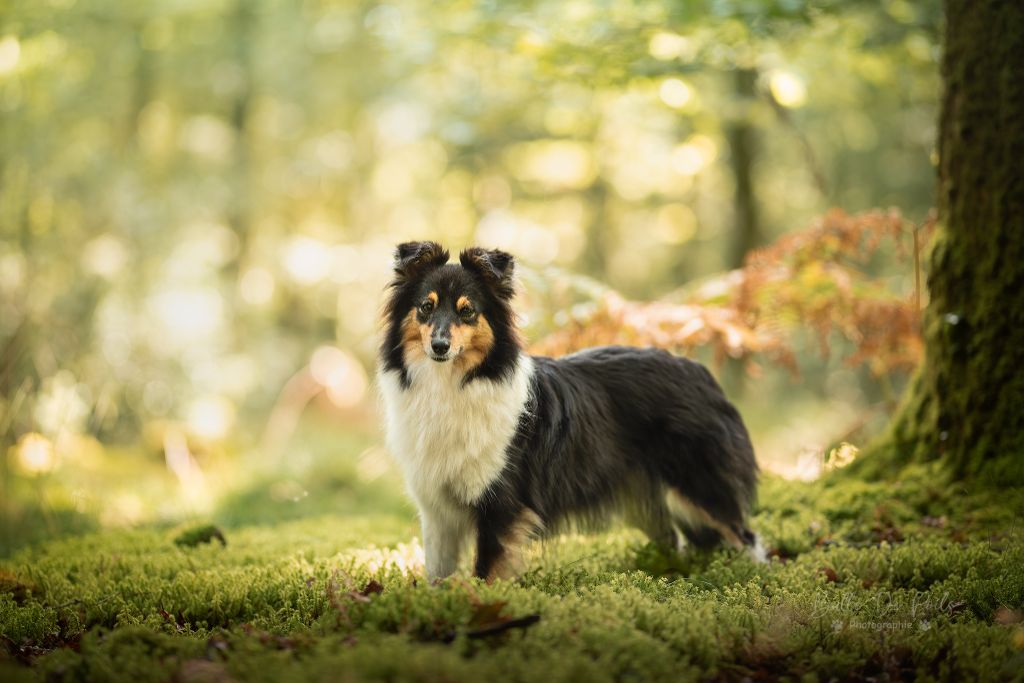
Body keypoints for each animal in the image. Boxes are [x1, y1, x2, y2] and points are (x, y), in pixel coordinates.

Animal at [380, 242, 765, 581]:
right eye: (425, 307)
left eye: (467, 311)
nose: (439, 346)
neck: (454, 382)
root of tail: (701, 372)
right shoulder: (437, 511)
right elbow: (437, 574)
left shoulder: (501, 504)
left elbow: (487, 571)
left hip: (699, 487)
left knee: (746, 537)